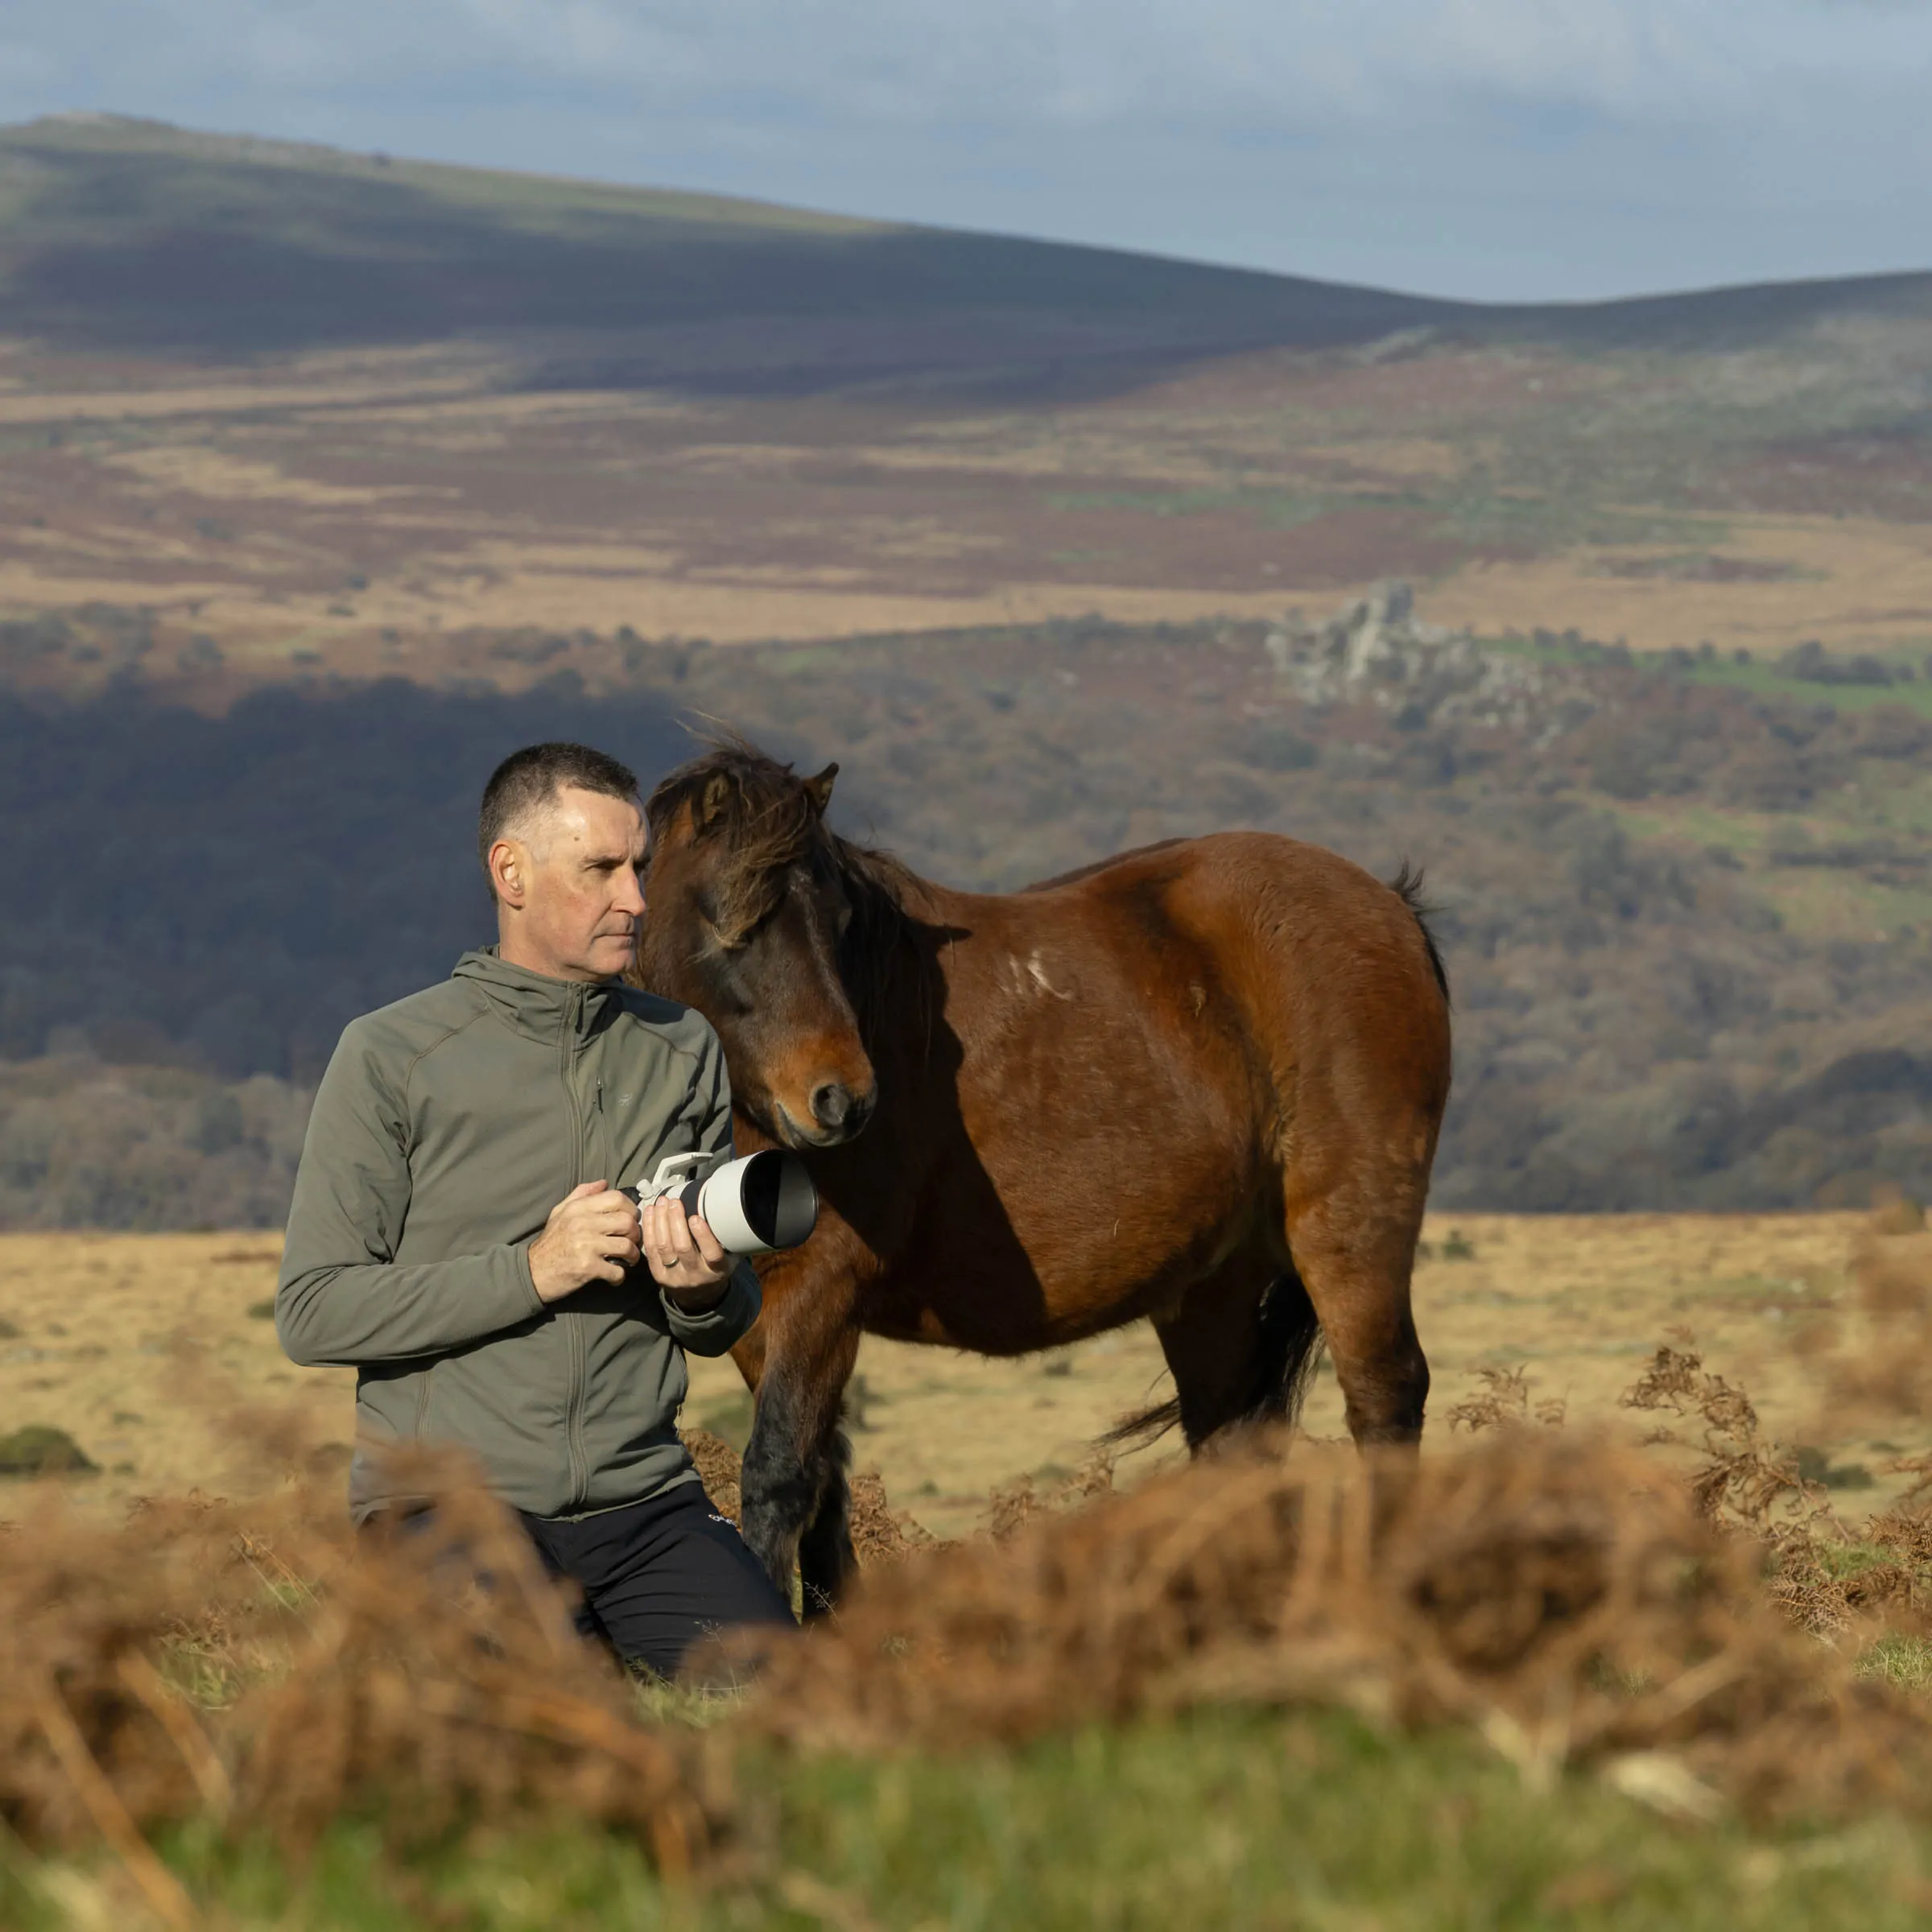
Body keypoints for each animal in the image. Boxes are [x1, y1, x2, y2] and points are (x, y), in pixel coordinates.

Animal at [634, 741, 1452, 1610]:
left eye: (839, 922)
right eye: (728, 916)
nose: (841, 1100)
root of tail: (1389, 908)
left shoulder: (821, 1295)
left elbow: (782, 1474)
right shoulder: (763, 1312)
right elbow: (822, 1486)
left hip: (1348, 1233)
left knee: (1384, 1397)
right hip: (1219, 1289)